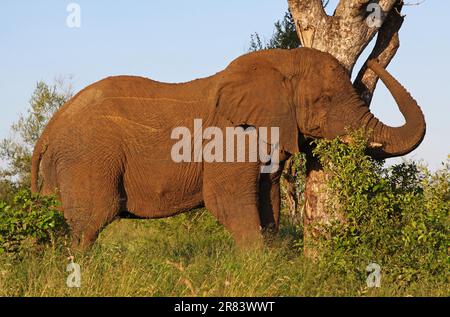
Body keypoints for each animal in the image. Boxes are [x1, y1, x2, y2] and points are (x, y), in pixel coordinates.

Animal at [30, 47, 426, 249]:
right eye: (324, 99)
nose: (374, 58)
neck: (276, 62)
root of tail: (48, 132)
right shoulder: (231, 138)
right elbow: (229, 203)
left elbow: (269, 203)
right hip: (87, 158)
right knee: (90, 223)